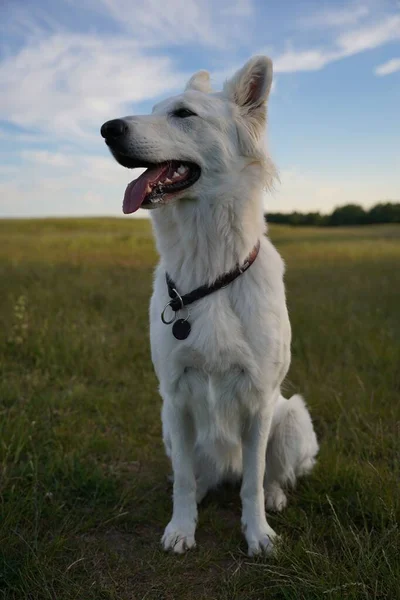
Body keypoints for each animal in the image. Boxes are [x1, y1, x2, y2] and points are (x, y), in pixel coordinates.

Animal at [101, 56, 318, 556]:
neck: (209, 271)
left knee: (267, 475)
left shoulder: (259, 400)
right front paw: (182, 528)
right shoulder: (176, 397)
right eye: (153, 109)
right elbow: (183, 478)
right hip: (168, 424)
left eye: (183, 114)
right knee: (198, 476)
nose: (106, 129)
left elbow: (253, 481)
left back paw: (275, 498)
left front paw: (258, 534)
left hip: (291, 416)